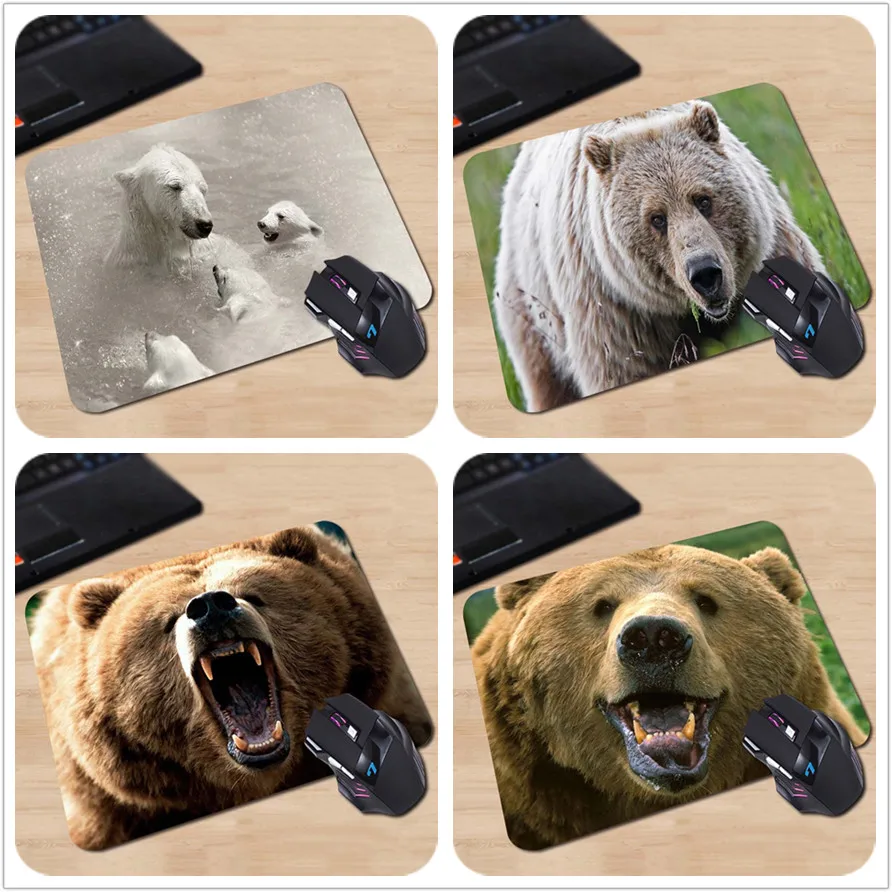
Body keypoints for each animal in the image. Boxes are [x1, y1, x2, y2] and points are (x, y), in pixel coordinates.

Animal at [491, 101, 826, 411]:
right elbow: (622, 368)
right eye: (657, 218)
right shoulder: (614, 306)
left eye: (703, 199)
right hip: (531, 309)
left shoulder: (770, 246)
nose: (705, 274)